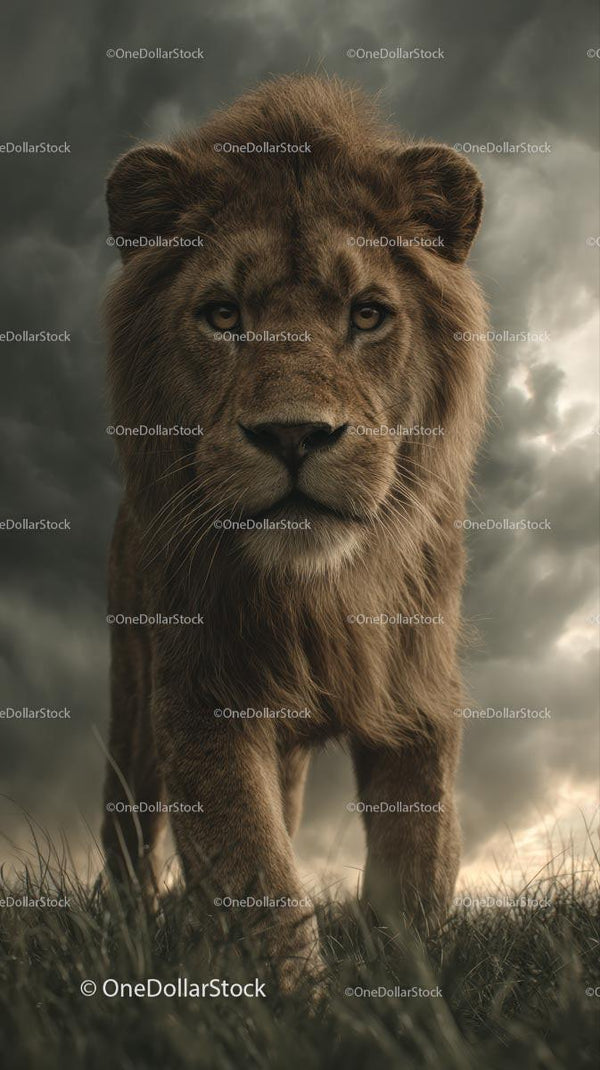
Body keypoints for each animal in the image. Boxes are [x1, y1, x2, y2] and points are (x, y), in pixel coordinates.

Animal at [101, 75, 489, 991]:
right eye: (221, 315)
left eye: (368, 314)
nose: (293, 435)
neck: (320, 590)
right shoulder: (201, 694)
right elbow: (256, 874)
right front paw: (295, 1006)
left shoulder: (418, 697)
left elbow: (419, 863)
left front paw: (407, 994)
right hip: (130, 693)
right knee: (127, 829)